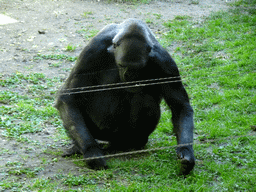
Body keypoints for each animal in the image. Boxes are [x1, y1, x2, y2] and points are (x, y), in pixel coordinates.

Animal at [55, 18, 195, 174]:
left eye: (137, 68)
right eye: (122, 65)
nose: (129, 76)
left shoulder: (165, 61)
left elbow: (179, 106)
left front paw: (186, 152)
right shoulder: (92, 50)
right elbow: (69, 97)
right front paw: (92, 152)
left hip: (124, 137)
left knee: (144, 100)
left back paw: (133, 143)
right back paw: (78, 146)